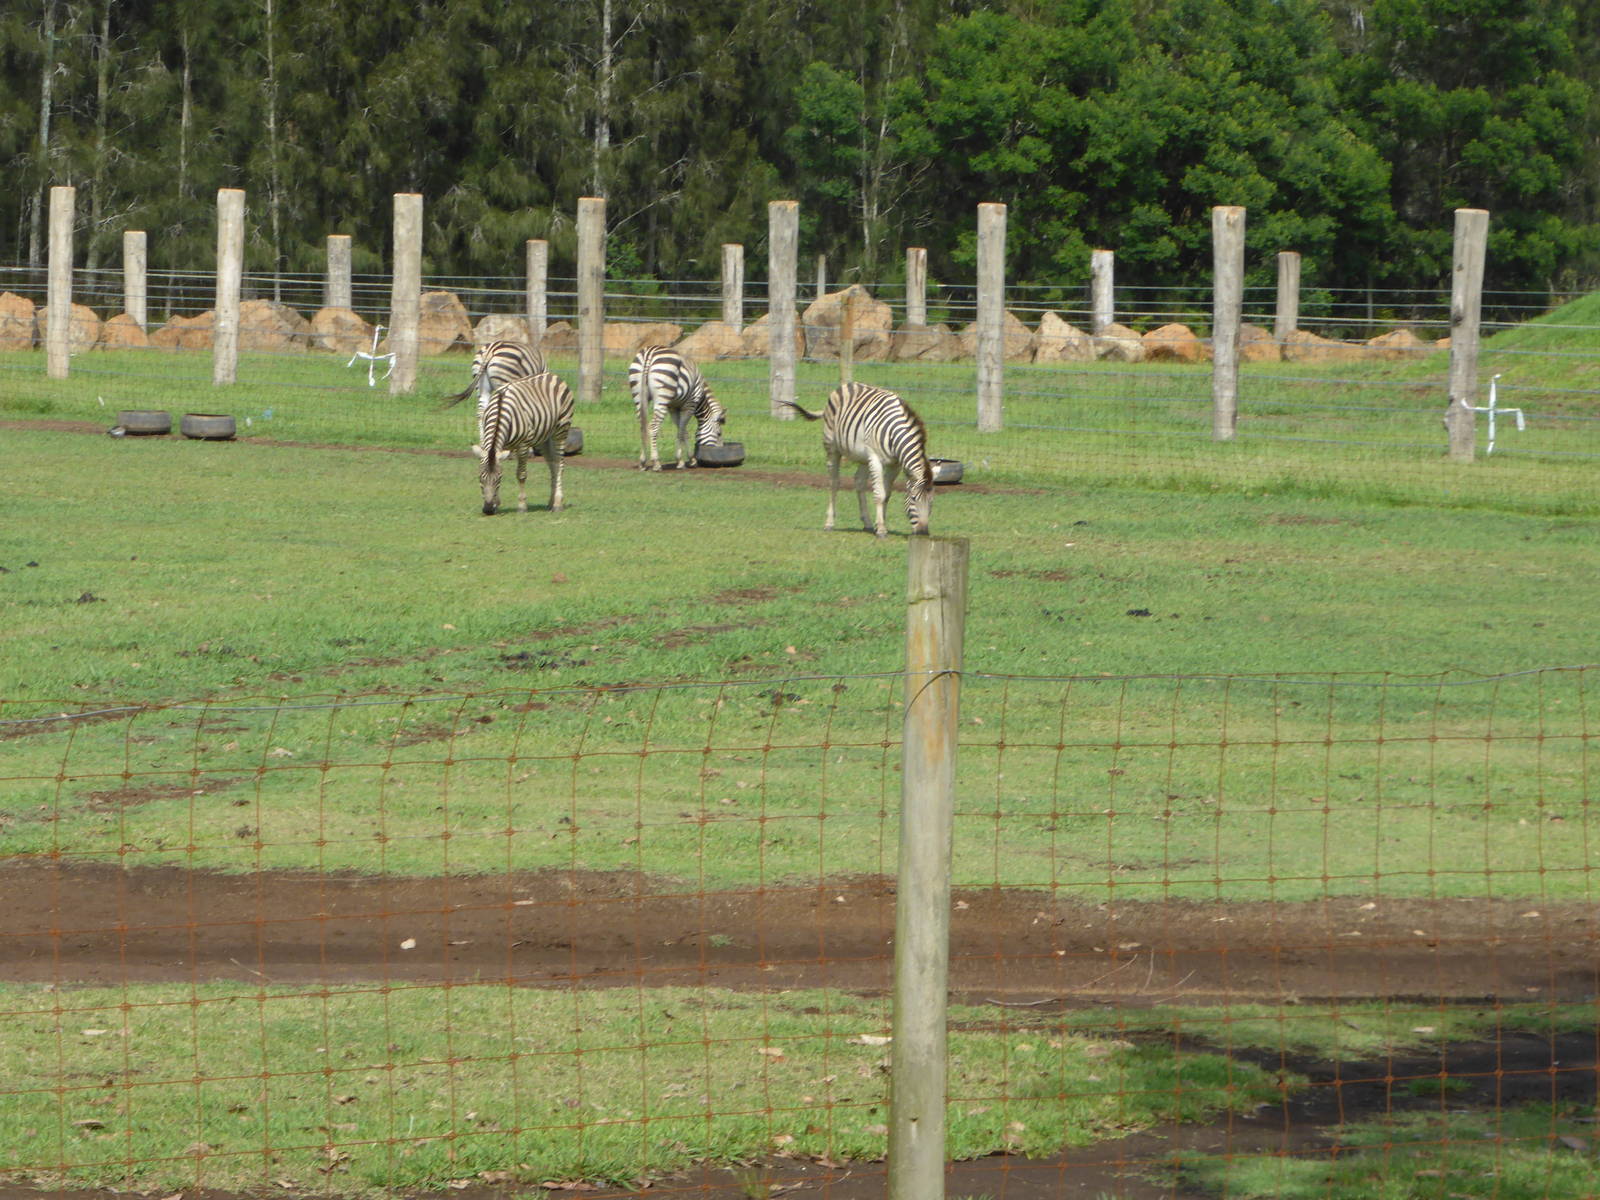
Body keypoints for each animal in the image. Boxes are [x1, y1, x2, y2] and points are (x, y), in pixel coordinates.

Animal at [474, 372, 574, 515]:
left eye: (499, 479)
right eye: (480, 478)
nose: (488, 509)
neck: (499, 413)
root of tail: (552, 375)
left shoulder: (523, 445)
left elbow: (521, 475)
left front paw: (521, 506)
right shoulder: (501, 448)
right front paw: (496, 504)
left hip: (561, 430)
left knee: (559, 465)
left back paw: (558, 503)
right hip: (544, 438)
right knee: (552, 465)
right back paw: (551, 501)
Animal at [781, 382, 933, 538]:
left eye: (931, 502)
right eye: (913, 499)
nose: (923, 533)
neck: (894, 434)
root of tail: (845, 385)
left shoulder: (895, 465)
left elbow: (887, 494)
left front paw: (881, 524)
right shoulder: (876, 459)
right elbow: (880, 494)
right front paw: (881, 529)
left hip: (864, 457)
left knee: (859, 482)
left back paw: (867, 523)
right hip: (832, 448)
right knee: (834, 482)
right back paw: (829, 523)